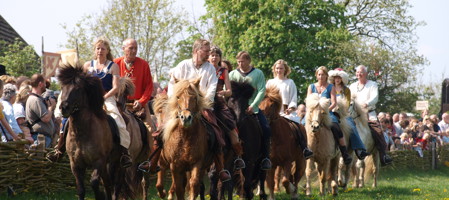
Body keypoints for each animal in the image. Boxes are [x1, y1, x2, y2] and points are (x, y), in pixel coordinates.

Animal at [57, 63, 125, 198]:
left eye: (78, 88)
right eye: (62, 87)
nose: (63, 108)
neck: (81, 133)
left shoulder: (99, 161)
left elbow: (94, 182)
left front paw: (100, 196)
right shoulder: (75, 164)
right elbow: (80, 189)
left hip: (116, 163)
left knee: (114, 184)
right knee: (107, 183)